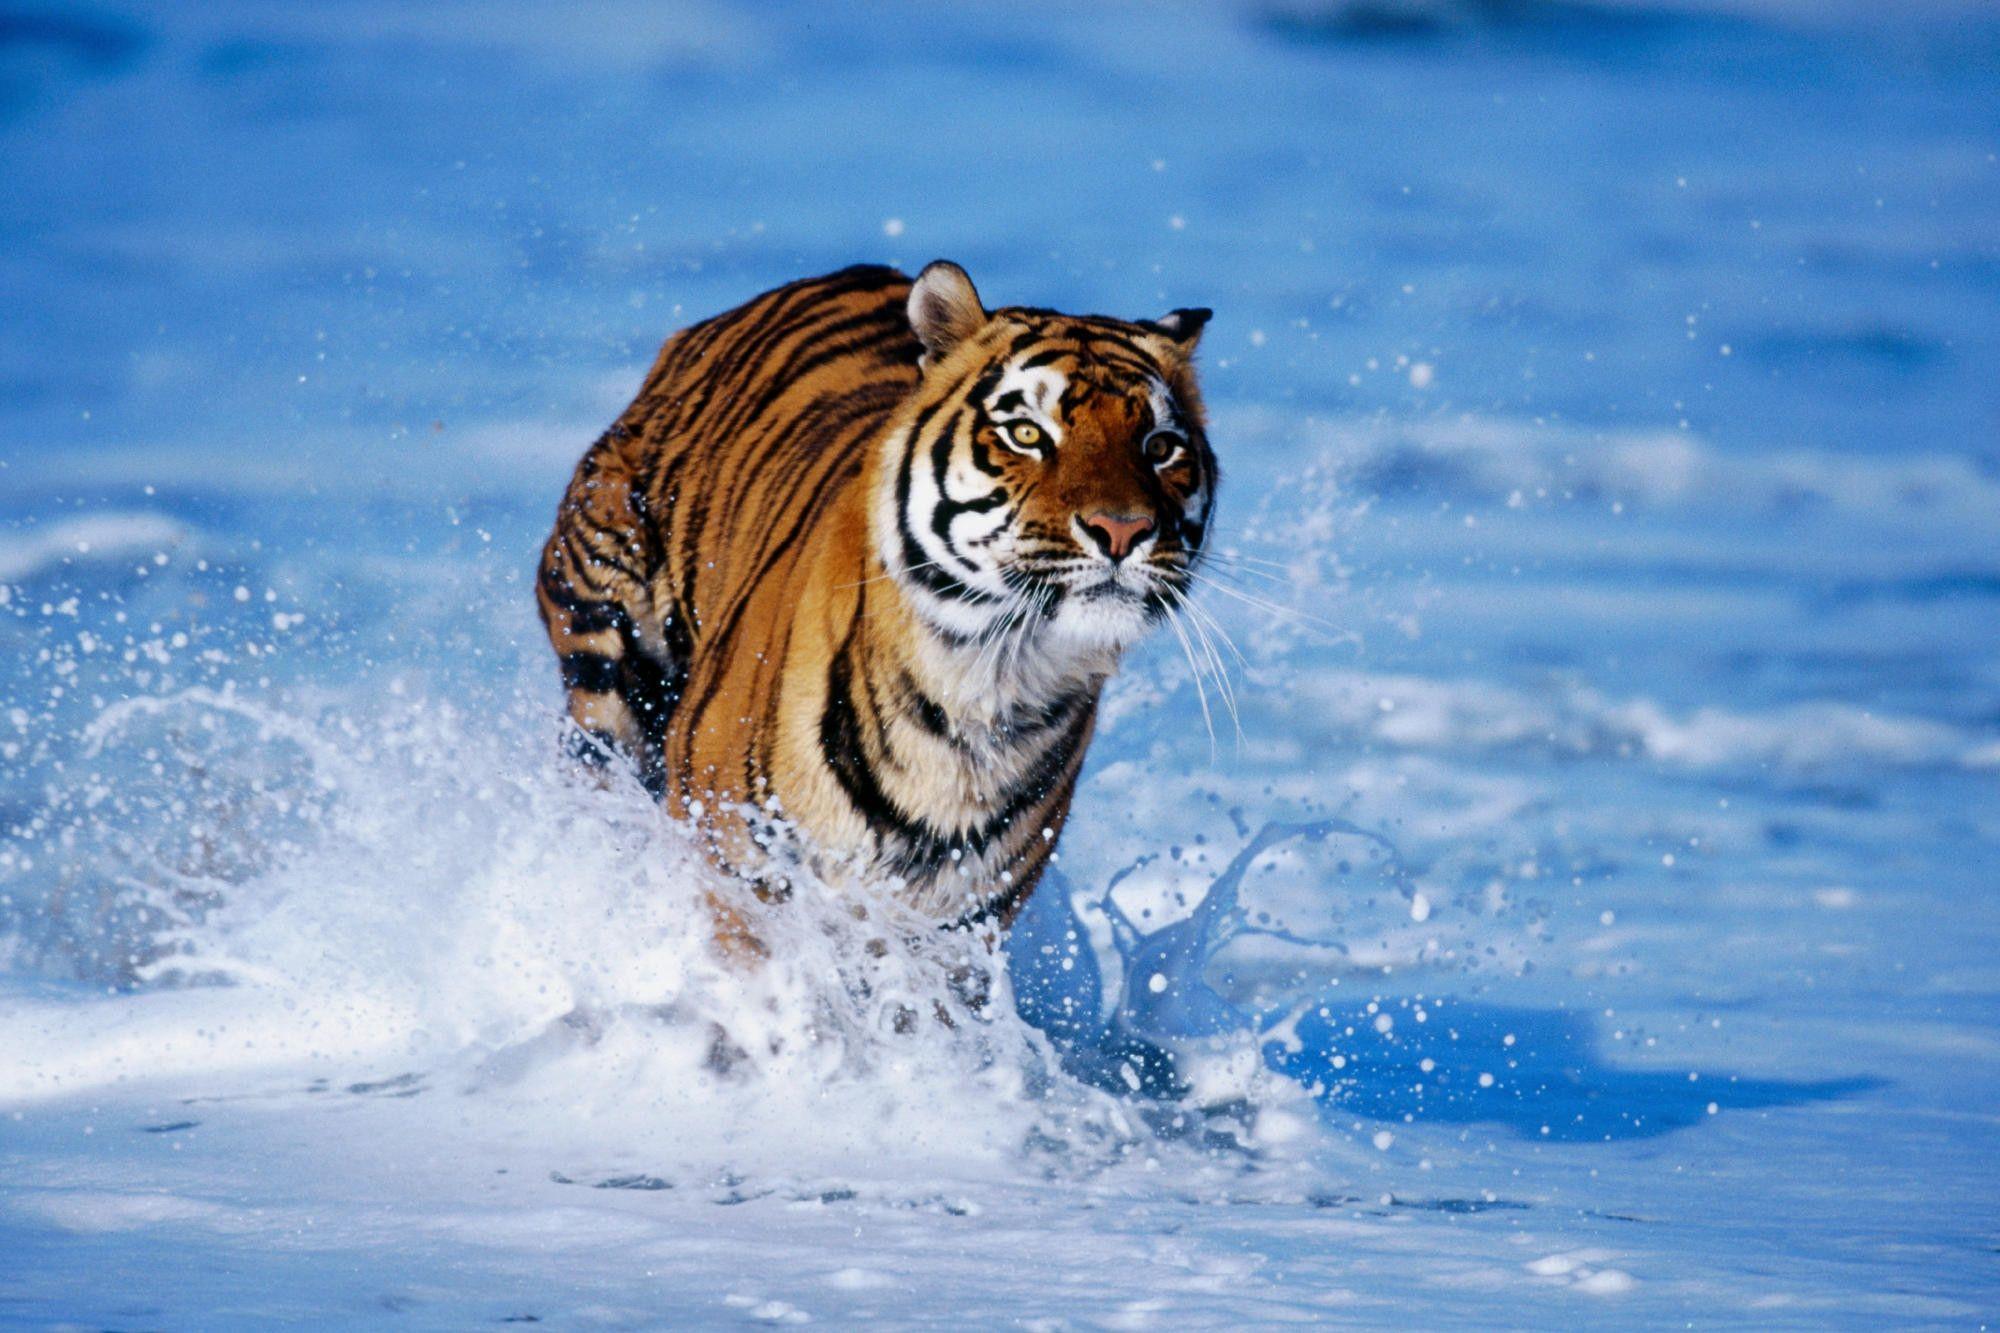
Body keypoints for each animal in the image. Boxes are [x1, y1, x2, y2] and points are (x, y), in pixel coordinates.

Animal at [536, 261, 1214, 948]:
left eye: (1160, 446)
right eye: (1026, 433)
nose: (1124, 530)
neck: (988, 687)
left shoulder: (959, 928)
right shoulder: (738, 871)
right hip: (607, 667)